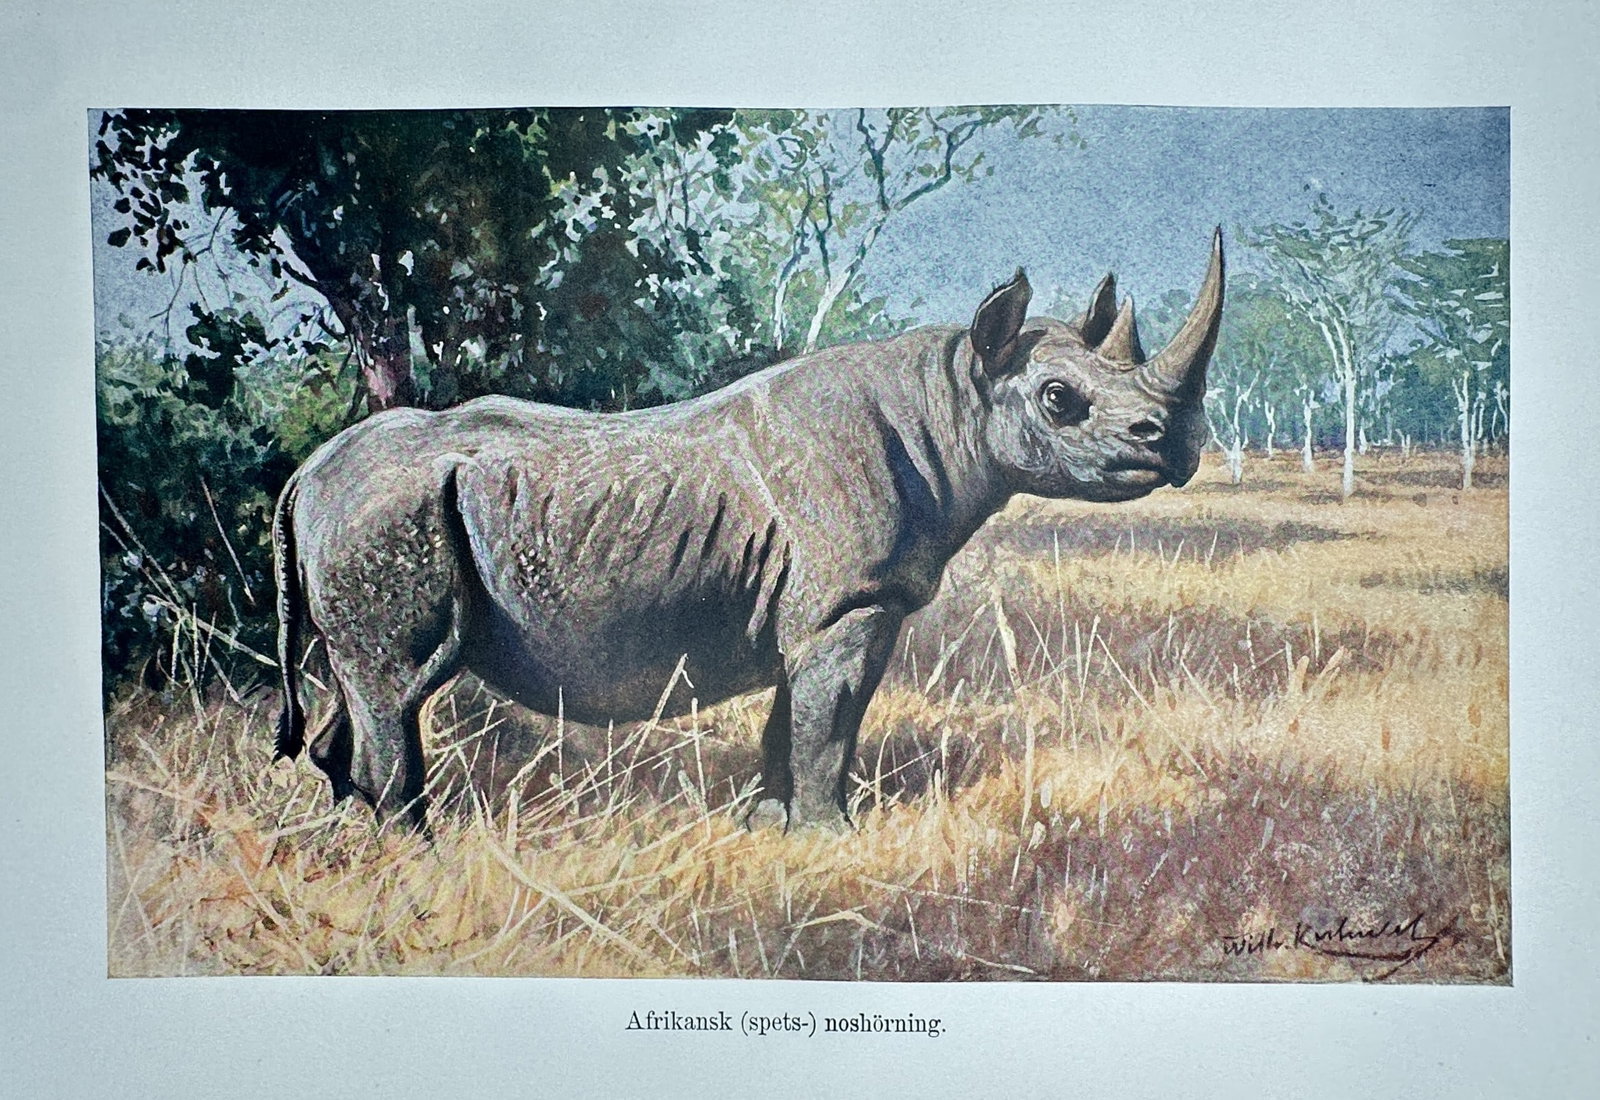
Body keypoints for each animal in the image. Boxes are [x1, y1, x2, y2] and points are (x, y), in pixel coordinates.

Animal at [272, 230, 1224, 832]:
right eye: (1061, 400)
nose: (1179, 443)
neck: (952, 395)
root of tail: (304, 477)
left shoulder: (826, 611)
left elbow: (795, 723)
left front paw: (769, 828)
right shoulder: (847, 605)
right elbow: (827, 727)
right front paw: (832, 840)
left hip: (368, 512)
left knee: (359, 687)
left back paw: (345, 847)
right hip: (383, 512)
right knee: (395, 689)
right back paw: (412, 853)